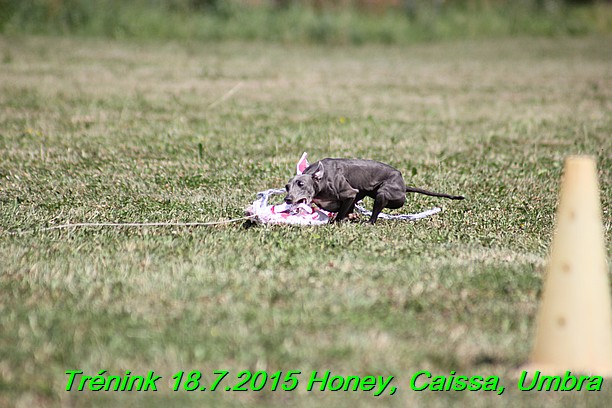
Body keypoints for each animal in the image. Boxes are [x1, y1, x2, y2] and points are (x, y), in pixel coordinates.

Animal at [286, 159, 464, 223]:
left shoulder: (350, 193)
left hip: (384, 193)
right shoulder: (353, 196)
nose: (287, 199)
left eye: (301, 183)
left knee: (374, 215)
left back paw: (368, 222)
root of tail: (404, 185)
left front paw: (336, 222)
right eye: (287, 187)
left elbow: (340, 214)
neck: (320, 179)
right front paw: (350, 217)